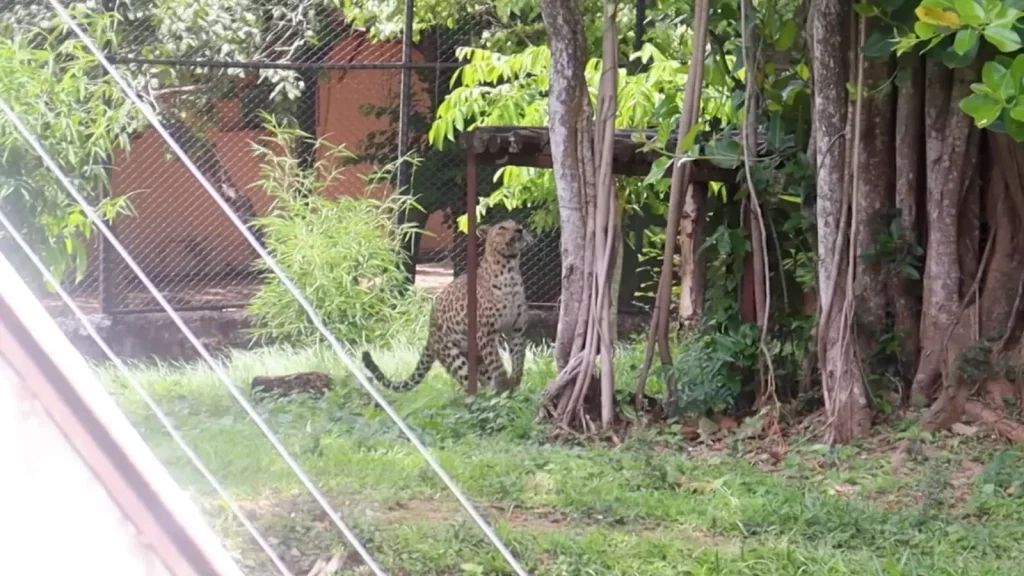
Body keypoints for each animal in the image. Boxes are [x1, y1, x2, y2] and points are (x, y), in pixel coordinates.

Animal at [362, 219, 532, 392]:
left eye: (516, 224)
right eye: (502, 228)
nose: (519, 230)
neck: (510, 270)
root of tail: (429, 332)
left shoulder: (517, 330)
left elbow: (519, 360)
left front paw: (514, 383)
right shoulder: (485, 333)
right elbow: (497, 364)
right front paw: (505, 384)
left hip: (475, 355)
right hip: (452, 355)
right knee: (469, 383)